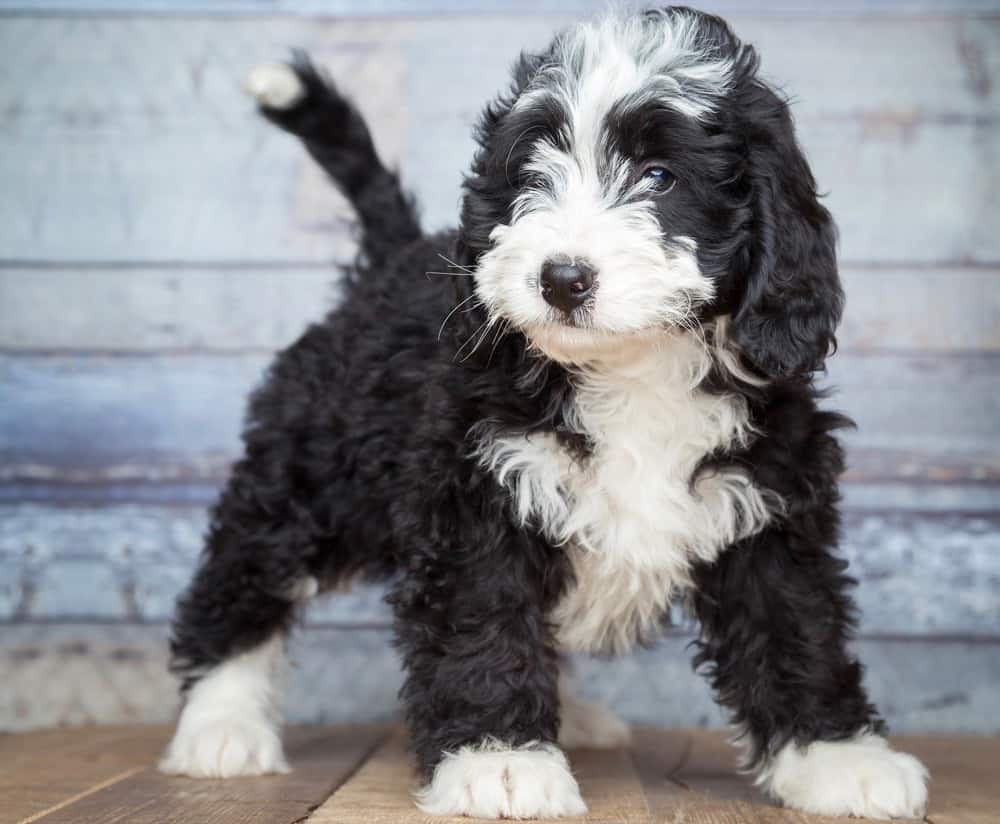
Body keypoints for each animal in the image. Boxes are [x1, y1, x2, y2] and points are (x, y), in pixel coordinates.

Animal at [156, 4, 928, 816]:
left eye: (659, 177)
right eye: (532, 177)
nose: (561, 278)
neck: (632, 368)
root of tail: (391, 258)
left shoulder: (769, 500)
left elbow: (796, 623)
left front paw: (836, 755)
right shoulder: (476, 491)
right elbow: (484, 622)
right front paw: (498, 760)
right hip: (312, 475)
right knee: (245, 575)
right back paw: (220, 724)